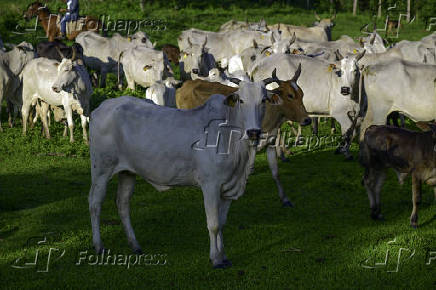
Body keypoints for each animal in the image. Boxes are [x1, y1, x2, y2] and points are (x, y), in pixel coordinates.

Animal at [88, 76, 282, 268]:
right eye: (241, 100)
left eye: (263, 100)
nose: (253, 132)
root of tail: (102, 107)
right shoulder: (210, 185)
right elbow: (213, 224)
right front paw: (215, 258)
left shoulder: (228, 187)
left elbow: (222, 222)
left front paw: (224, 255)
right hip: (101, 169)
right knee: (95, 203)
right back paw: (99, 246)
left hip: (128, 172)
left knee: (122, 204)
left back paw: (135, 245)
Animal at [175, 66, 312, 206]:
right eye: (290, 95)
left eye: (302, 94)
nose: (307, 120)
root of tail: (186, 84)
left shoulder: (270, 142)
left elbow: (275, 173)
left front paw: (285, 199)